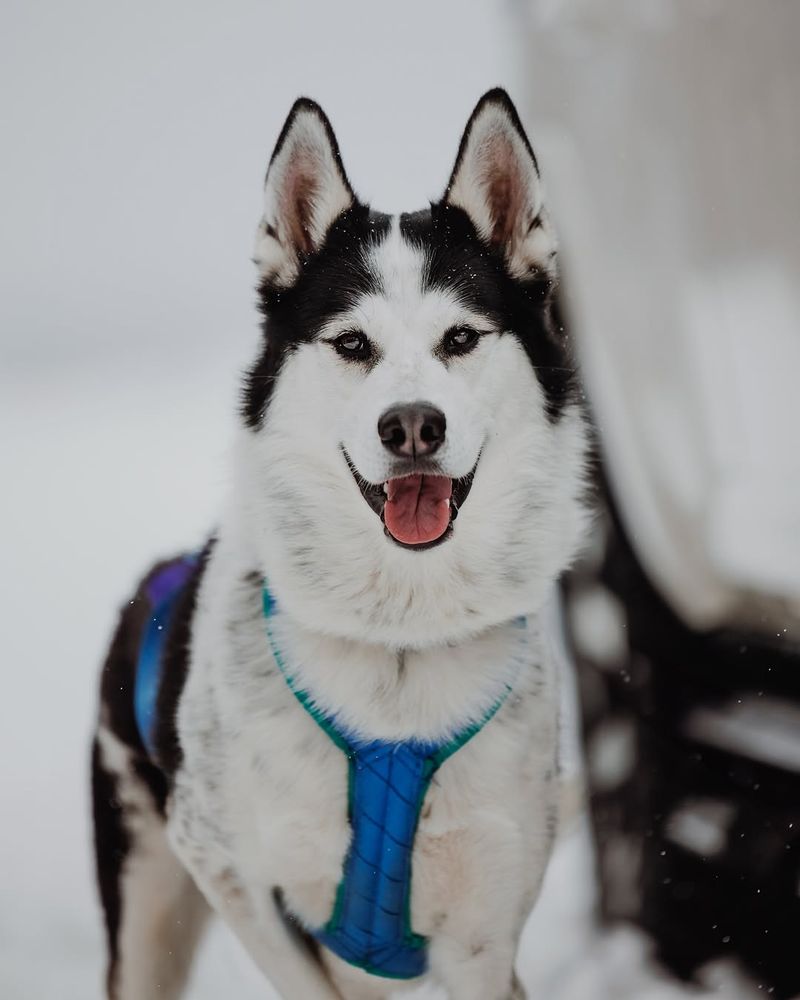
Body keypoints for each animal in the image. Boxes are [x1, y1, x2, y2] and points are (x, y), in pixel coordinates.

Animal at [92, 88, 588, 1000]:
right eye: (352, 344)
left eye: (460, 339)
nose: (414, 426)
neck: (400, 642)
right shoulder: (234, 871)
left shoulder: (484, 933)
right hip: (146, 915)